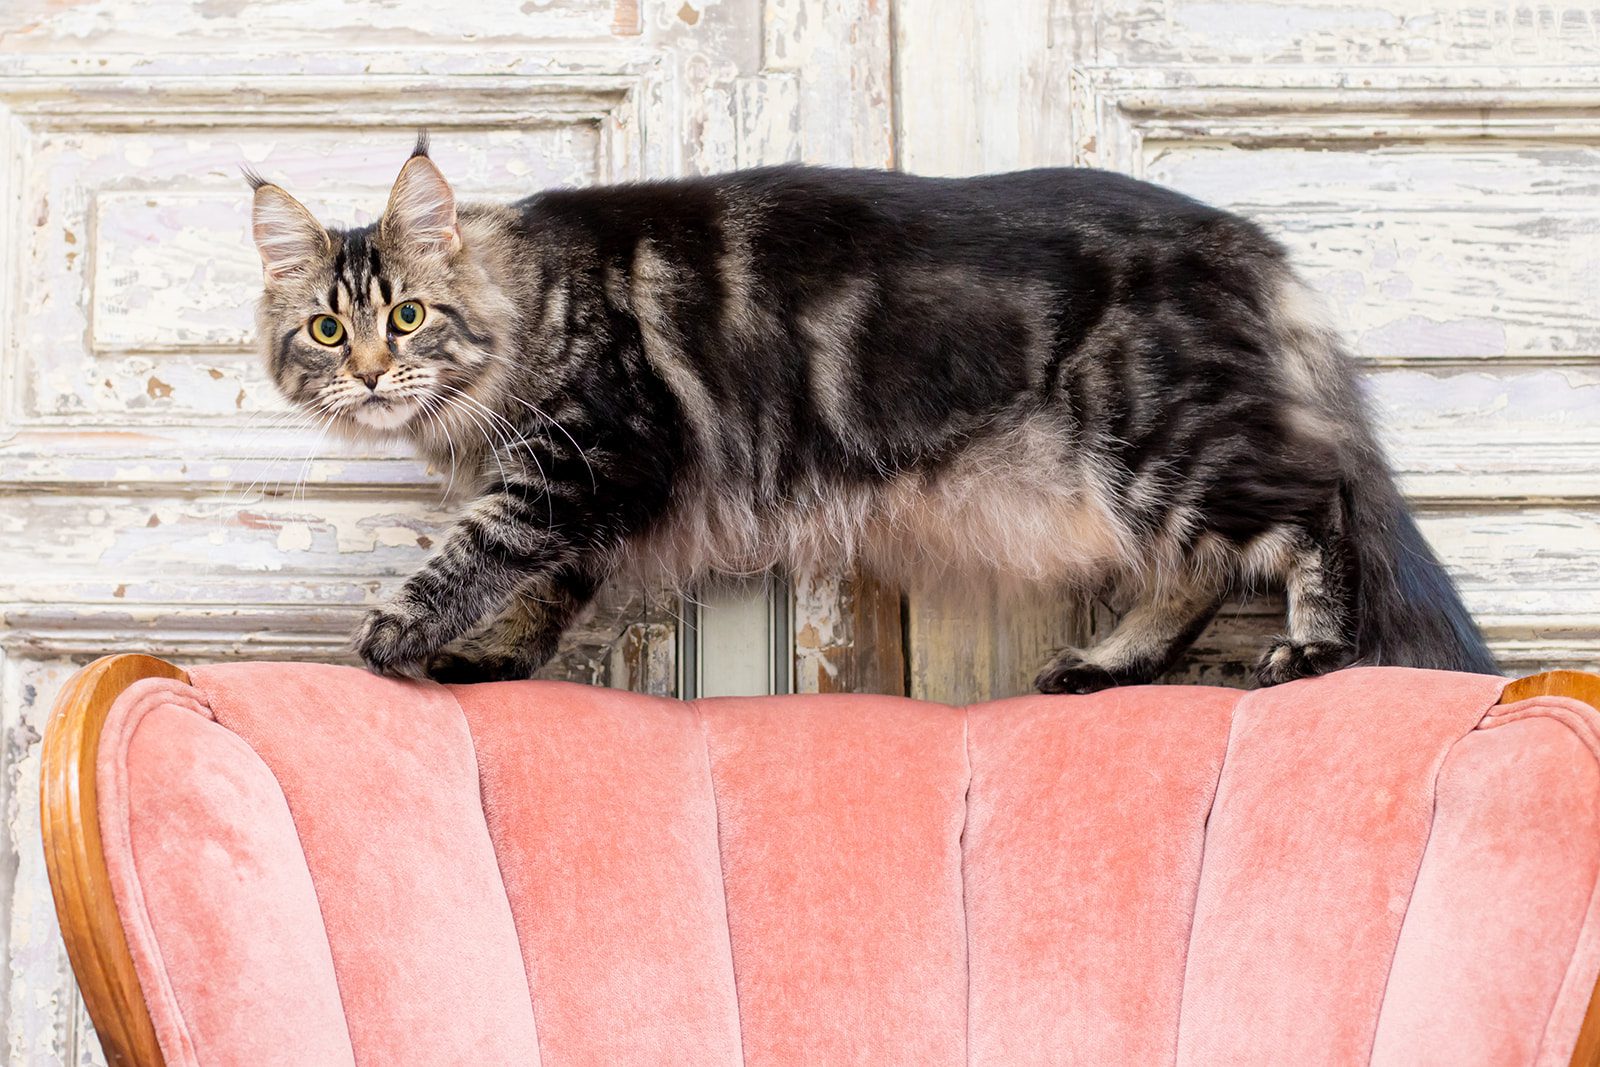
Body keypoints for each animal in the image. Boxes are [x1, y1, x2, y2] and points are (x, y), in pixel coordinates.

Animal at [246, 133, 1497, 694]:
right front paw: (493, 657)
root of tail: (1246, 243)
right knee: (1192, 573)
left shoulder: (592, 457)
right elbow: (544, 589)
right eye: (327, 330)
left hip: (1161, 441)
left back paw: (1312, 650)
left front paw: (395, 633)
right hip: (1139, 474)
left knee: (1317, 510)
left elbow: (477, 551)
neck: (530, 303)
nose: (370, 374)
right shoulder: (585, 492)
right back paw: (1103, 663)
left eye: (407, 316)